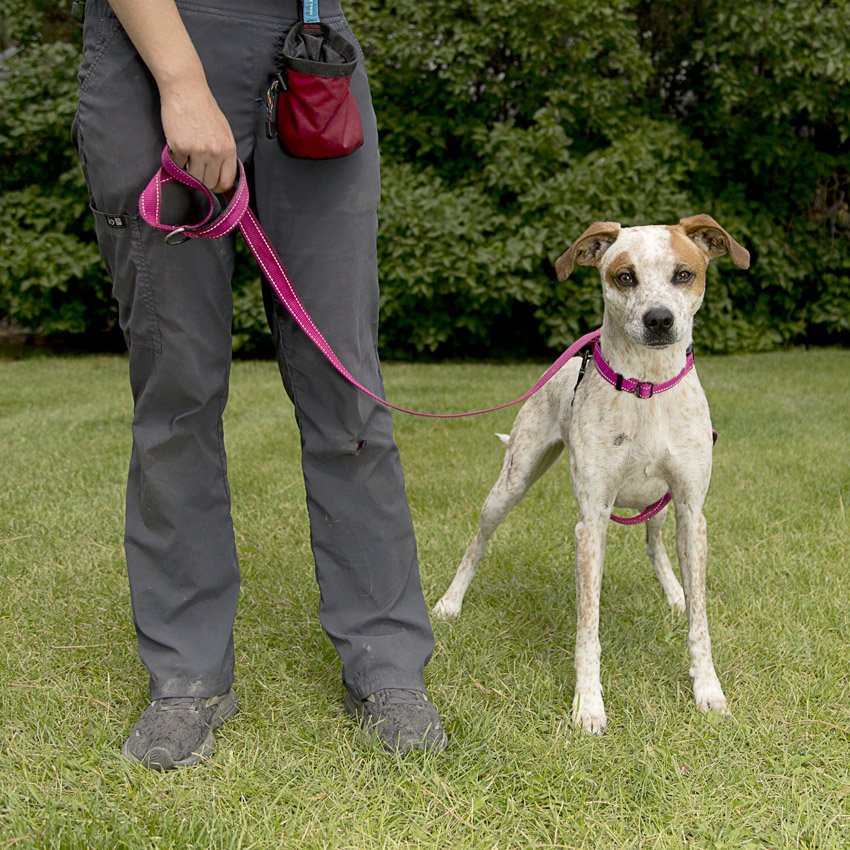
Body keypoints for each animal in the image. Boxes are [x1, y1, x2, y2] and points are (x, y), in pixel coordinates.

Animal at [434, 212, 744, 728]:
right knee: (477, 544)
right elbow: (588, 626)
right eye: (625, 277)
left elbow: (700, 622)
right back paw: (449, 603)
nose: (659, 319)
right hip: (511, 483)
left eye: (684, 274)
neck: (647, 387)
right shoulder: (591, 522)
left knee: (654, 544)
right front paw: (588, 703)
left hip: (659, 505)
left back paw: (674, 593)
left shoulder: (691, 510)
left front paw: (707, 689)